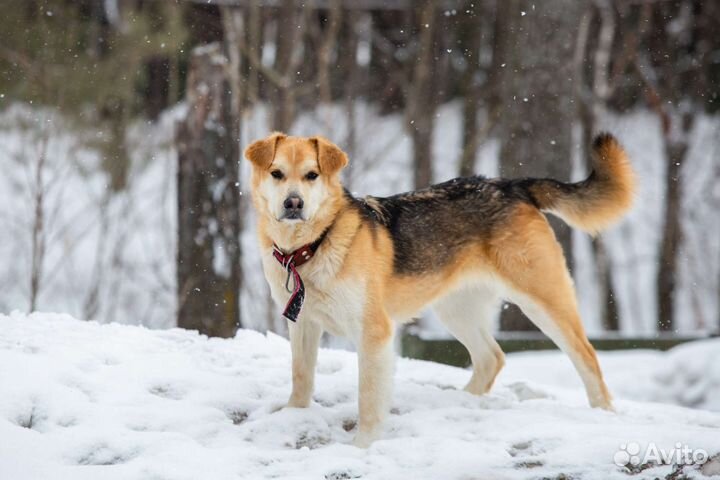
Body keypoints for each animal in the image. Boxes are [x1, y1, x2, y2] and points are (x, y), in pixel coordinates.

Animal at [246, 131, 636, 446]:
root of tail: (513, 185)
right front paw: (293, 415)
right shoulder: (303, 324)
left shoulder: (374, 333)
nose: (293, 203)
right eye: (277, 173)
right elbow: (301, 378)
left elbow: (368, 398)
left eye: (311, 175)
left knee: (587, 356)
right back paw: (461, 403)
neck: (312, 247)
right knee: (492, 358)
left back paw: (603, 412)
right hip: (455, 311)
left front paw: (363, 446)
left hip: (542, 302)